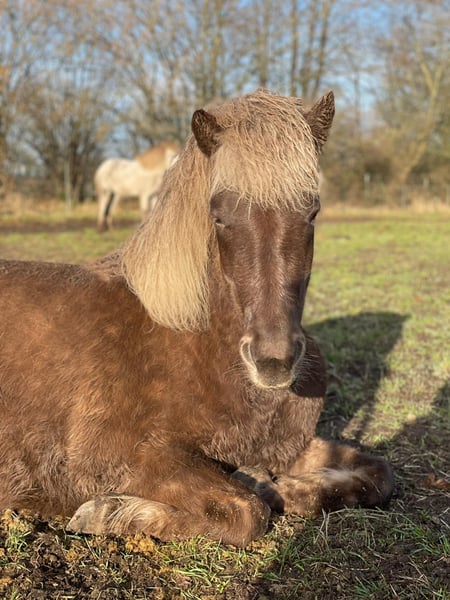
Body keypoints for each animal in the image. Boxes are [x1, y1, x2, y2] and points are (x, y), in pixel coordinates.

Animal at [0, 89, 394, 547]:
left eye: (312, 211)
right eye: (218, 214)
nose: (273, 362)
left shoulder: (288, 446)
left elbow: (376, 475)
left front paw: (267, 481)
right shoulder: (129, 460)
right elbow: (246, 512)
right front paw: (109, 514)